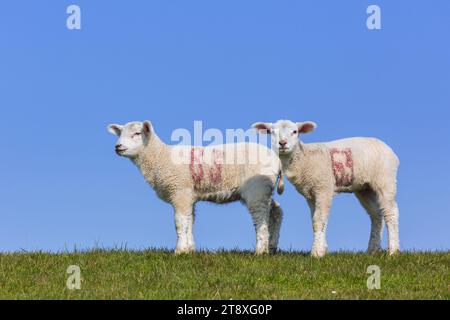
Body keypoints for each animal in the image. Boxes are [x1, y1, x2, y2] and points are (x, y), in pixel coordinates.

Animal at [107, 120, 284, 255]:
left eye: (137, 133)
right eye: (120, 134)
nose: (118, 146)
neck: (160, 157)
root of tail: (277, 160)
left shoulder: (179, 191)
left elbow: (179, 222)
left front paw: (179, 251)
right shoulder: (188, 195)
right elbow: (190, 221)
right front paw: (189, 250)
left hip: (257, 189)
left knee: (261, 216)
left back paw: (260, 251)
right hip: (265, 189)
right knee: (276, 212)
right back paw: (272, 246)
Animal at [253, 120, 400, 258]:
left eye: (295, 131)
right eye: (272, 132)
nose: (282, 143)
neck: (304, 159)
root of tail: (390, 151)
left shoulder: (323, 188)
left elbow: (319, 220)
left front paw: (316, 252)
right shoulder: (310, 194)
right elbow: (314, 221)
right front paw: (323, 248)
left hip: (385, 179)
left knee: (391, 212)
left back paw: (393, 251)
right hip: (365, 188)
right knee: (376, 215)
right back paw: (372, 250)